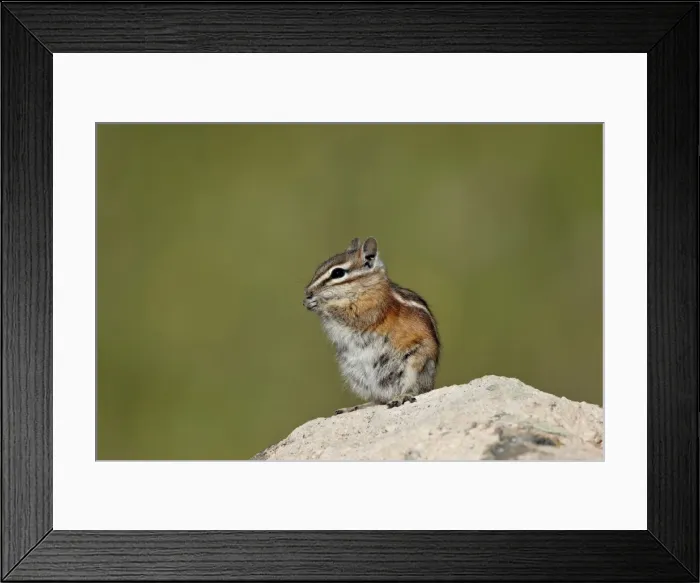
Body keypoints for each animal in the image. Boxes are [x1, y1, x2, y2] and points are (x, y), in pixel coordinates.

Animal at [303, 237, 440, 415]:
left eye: (338, 273)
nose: (308, 292)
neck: (366, 286)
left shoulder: (370, 308)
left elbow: (348, 313)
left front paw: (319, 304)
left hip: (415, 364)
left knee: (414, 390)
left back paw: (402, 397)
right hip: (356, 374)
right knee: (378, 400)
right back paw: (354, 407)